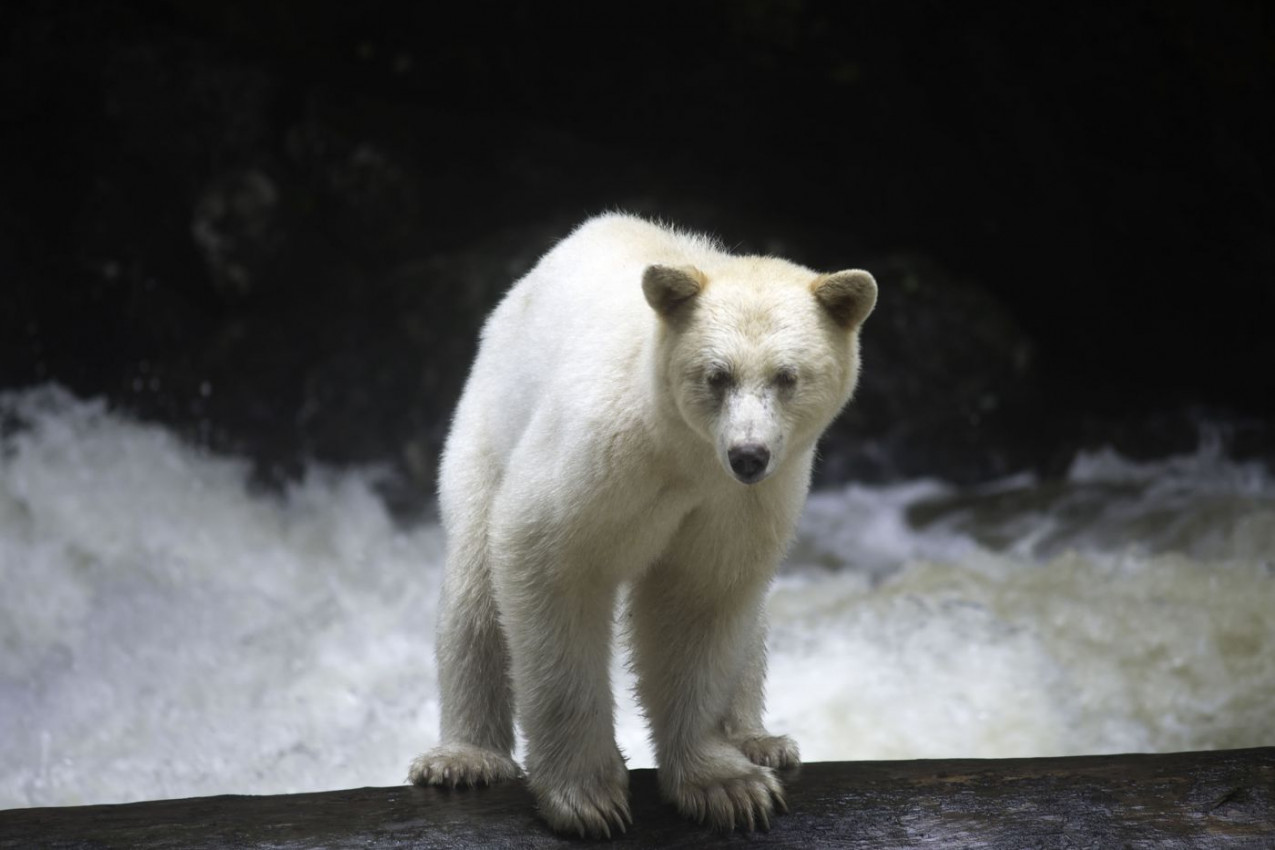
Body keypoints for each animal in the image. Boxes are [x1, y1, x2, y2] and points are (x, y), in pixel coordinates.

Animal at [408, 212, 877, 835]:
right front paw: (587, 797)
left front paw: (728, 785)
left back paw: (760, 740)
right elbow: (547, 562)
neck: (683, 453)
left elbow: (702, 600)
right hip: (486, 428)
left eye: (787, 376)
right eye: (717, 376)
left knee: (749, 619)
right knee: (474, 589)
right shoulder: (600, 455)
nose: (748, 456)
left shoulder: (739, 503)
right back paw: (464, 758)